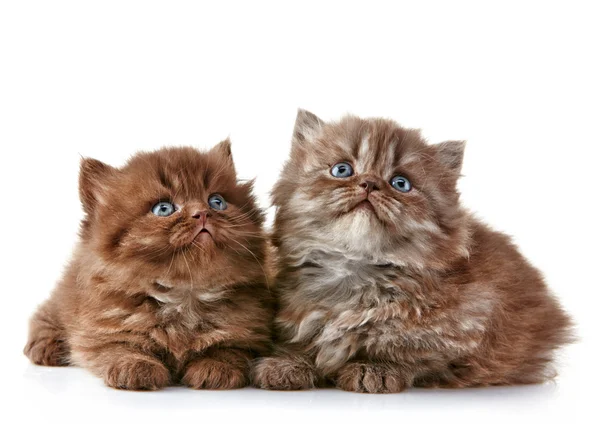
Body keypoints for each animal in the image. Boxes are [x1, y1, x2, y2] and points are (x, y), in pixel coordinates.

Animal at [25, 142, 272, 390]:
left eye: (216, 201)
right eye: (163, 209)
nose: (202, 213)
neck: (185, 294)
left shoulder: (249, 331)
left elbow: (230, 348)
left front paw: (216, 367)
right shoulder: (100, 329)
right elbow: (117, 348)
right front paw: (135, 367)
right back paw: (46, 347)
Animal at [252, 110, 572, 394]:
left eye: (400, 184)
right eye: (342, 170)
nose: (370, 183)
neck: (356, 270)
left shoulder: (469, 324)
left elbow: (412, 353)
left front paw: (377, 368)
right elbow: (303, 344)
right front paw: (288, 364)